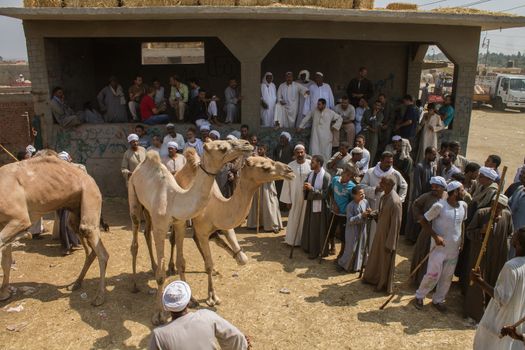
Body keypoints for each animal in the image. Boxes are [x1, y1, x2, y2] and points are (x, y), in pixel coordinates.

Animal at [0, 152, 108, 304]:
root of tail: (90, 178)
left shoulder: (19, 219)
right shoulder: (4, 222)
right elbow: (6, 260)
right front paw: (4, 293)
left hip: (90, 193)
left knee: (99, 249)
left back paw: (99, 297)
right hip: (76, 208)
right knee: (83, 239)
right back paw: (76, 284)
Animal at [126, 138, 251, 324]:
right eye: (222, 147)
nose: (247, 144)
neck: (174, 200)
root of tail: (139, 168)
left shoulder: (180, 223)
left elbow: (181, 263)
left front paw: (191, 300)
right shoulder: (161, 227)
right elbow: (161, 275)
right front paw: (159, 314)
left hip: (148, 211)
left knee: (146, 232)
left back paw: (153, 266)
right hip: (133, 197)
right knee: (135, 240)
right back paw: (134, 284)